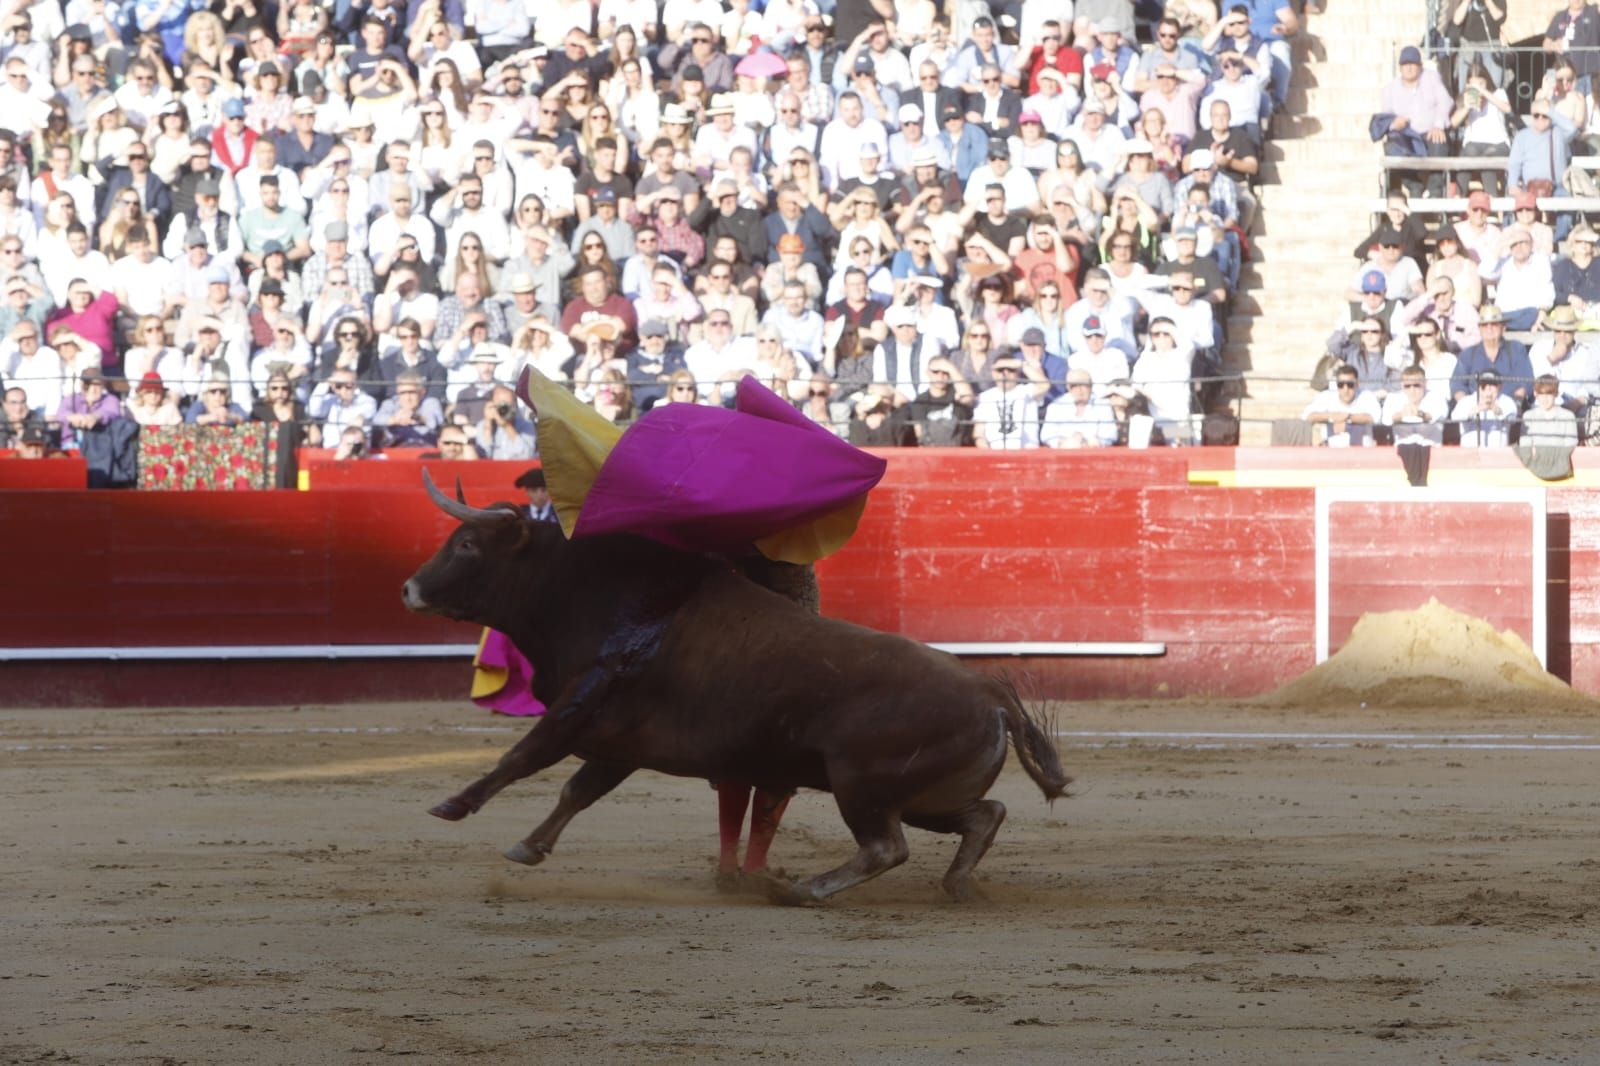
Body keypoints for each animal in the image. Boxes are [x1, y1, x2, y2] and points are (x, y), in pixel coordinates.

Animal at [406, 470, 1068, 896]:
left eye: (467, 543)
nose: (409, 588)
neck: (590, 591)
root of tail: (991, 695)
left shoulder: (581, 706)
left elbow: (524, 756)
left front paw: (453, 805)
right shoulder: (618, 741)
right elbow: (578, 790)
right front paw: (529, 846)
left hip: (860, 783)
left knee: (888, 846)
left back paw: (807, 888)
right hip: (922, 793)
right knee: (984, 814)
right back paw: (955, 884)